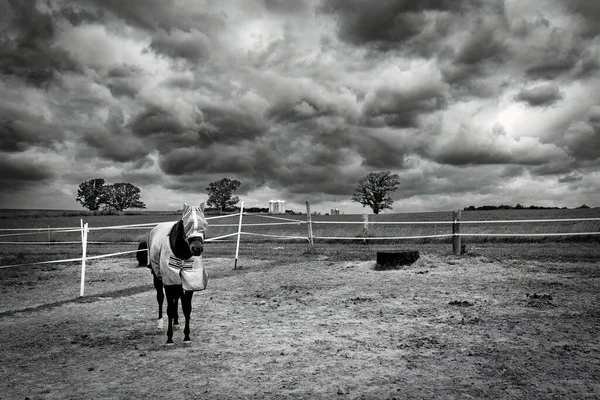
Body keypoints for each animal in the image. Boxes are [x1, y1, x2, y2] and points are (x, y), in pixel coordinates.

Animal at [138, 203, 209, 344]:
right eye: (187, 224)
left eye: (205, 223)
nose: (197, 248)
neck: (182, 252)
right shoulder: (168, 280)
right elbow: (169, 308)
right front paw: (169, 338)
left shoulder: (189, 280)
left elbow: (186, 307)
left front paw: (187, 336)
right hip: (157, 277)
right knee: (161, 298)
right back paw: (160, 325)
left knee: (177, 297)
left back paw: (176, 323)